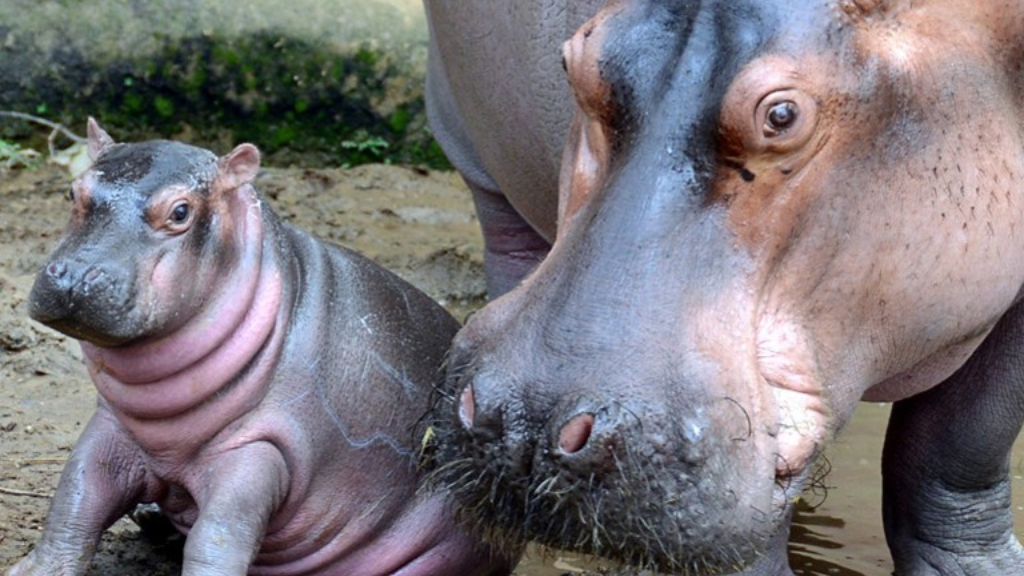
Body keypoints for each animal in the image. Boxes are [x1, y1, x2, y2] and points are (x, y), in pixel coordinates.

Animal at [9, 119, 512, 573]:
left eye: (180, 212)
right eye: (72, 192)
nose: (75, 276)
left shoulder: (260, 450)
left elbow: (218, 537)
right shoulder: (112, 426)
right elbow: (75, 495)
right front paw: (33, 570)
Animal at [421, 0, 1024, 569]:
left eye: (782, 115)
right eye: (570, 64)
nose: (521, 426)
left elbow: (960, 443)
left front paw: (979, 568)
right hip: (477, 162)